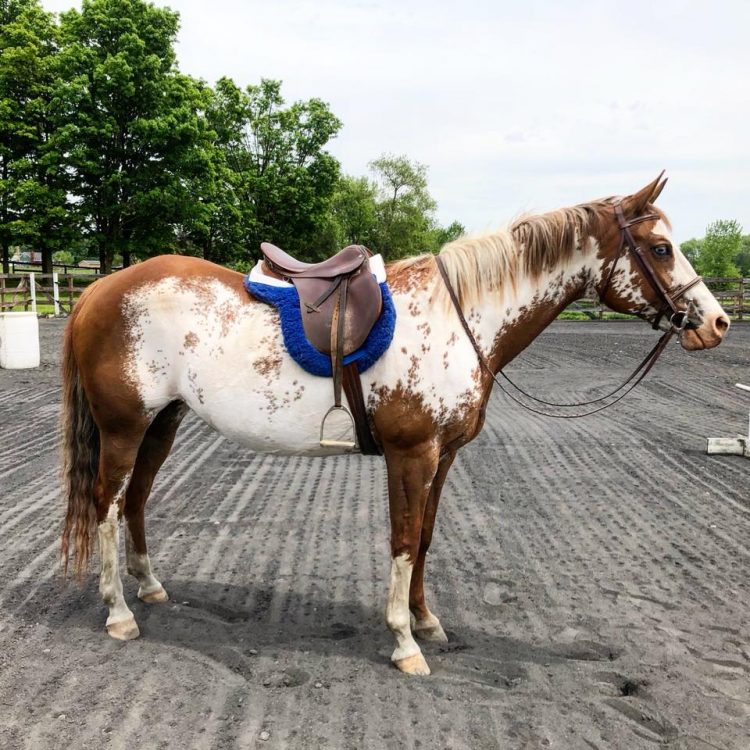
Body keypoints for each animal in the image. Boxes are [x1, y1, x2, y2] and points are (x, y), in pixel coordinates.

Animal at [61, 175, 732, 676]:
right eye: (662, 248)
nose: (717, 322)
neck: (463, 317)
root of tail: (99, 288)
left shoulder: (444, 456)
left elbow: (427, 538)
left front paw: (427, 622)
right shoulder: (412, 454)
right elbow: (405, 540)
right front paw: (404, 642)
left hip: (162, 423)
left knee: (136, 501)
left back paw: (150, 588)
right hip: (124, 428)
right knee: (106, 505)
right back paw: (118, 614)